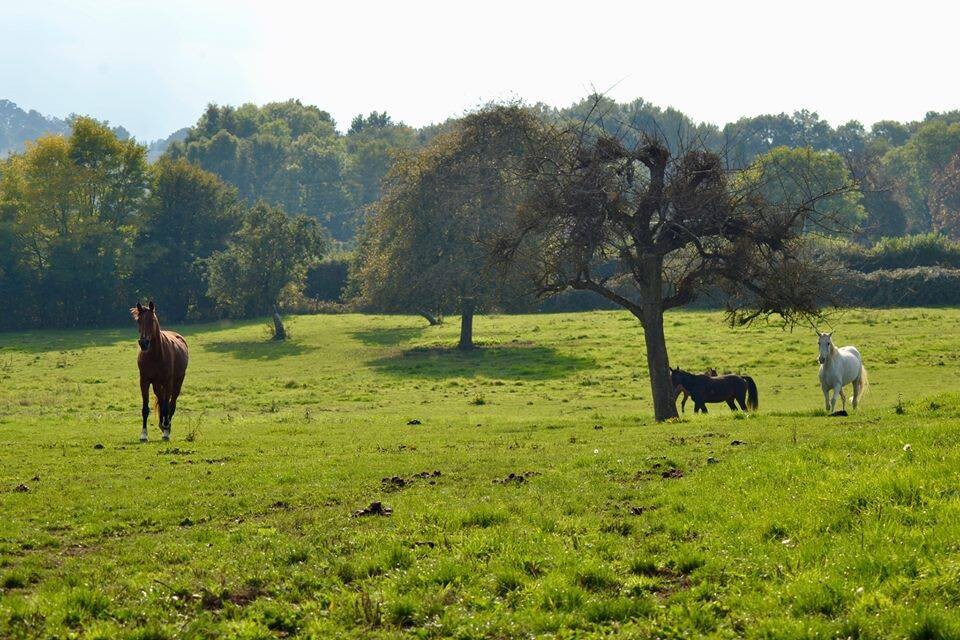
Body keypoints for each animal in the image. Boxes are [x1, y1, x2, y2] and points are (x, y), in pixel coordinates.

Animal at [132, 298, 190, 440]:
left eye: (152, 320)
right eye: (138, 320)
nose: (143, 343)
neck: (155, 355)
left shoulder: (168, 382)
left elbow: (166, 407)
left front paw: (166, 432)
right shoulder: (144, 381)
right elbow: (145, 409)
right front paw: (143, 435)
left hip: (177, 382)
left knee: (171, 404)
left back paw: (167, 427)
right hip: (157, 385)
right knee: (162, 400)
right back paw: (162, 424)